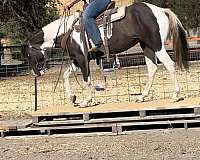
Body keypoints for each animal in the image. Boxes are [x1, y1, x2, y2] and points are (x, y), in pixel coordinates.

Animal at [26, 2, 189, 107]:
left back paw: (175, 95)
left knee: (169, 64)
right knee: (152, 69)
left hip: (157, 45)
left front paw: (86, 101)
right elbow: (67, 75)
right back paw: (142, 97)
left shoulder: (81, 58)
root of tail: (161, 10)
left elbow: (86, 79)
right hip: (147, 47)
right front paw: (73, 97)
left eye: (28, 55)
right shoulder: (78, 59)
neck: (68, 32)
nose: (35, 73)